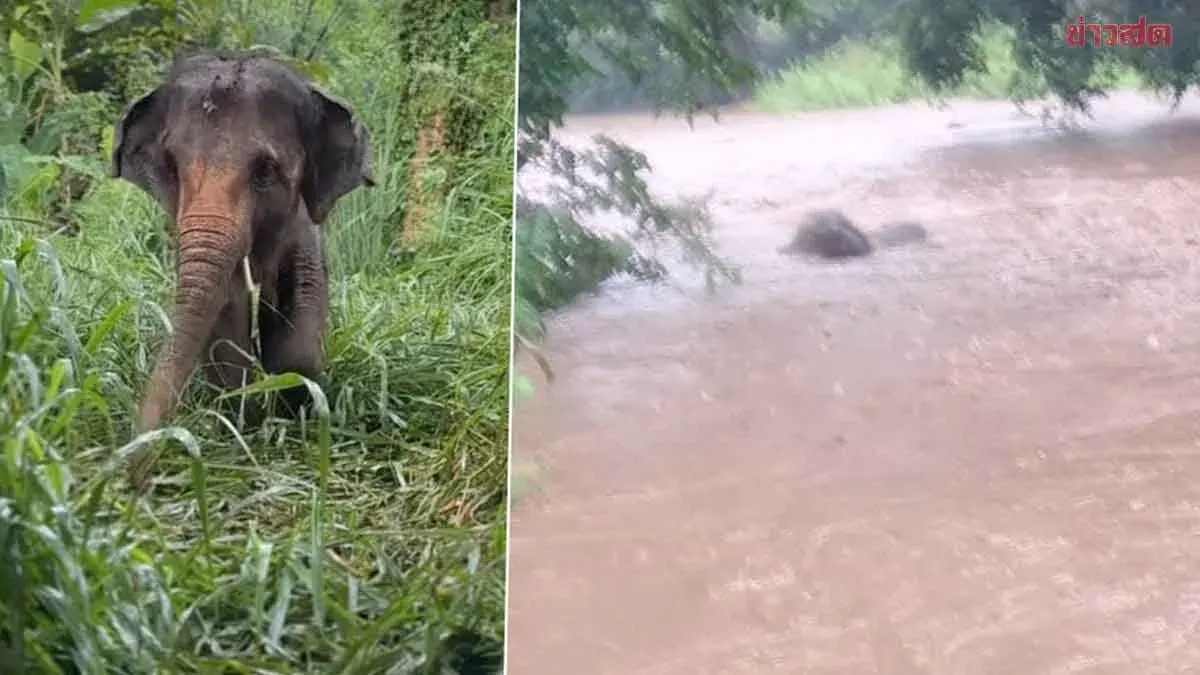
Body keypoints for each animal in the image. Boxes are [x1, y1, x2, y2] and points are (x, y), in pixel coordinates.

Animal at [111, 51, 375, 434]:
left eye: (265, 170)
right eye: (173, 168)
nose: (141, 433)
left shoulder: (304, 232)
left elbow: (304, 317)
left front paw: (293, 401)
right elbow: (225, 316)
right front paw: (243, 413)